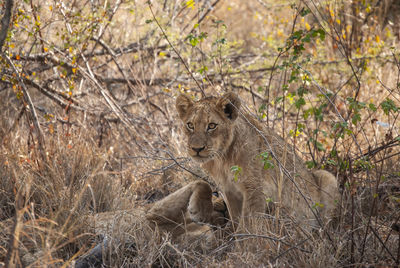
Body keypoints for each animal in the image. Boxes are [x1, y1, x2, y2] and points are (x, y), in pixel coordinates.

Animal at [175, 91, 338, 231]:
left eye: (212, 126)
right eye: (190, 125)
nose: (196, 148)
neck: (222, 159)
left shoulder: (255, 189)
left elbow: (248, 224)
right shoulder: (229, 190)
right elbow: (237, 220)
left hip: (328, 177)